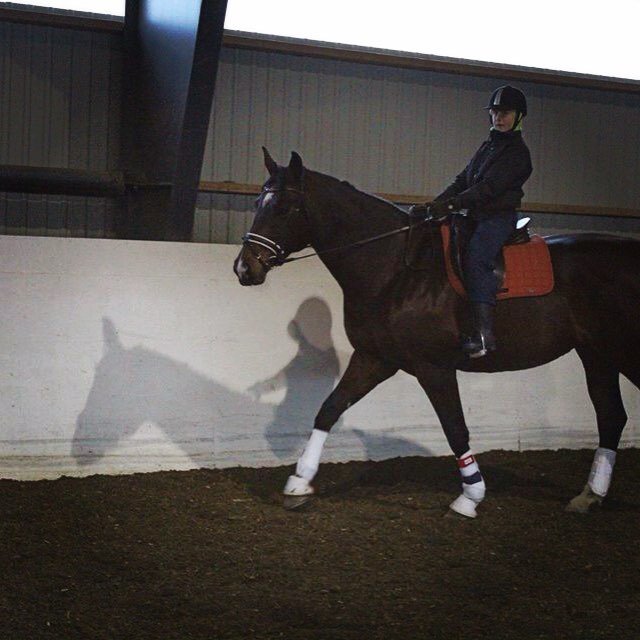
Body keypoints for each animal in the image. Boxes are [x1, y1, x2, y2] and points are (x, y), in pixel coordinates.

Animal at [233, 148, 640, 517]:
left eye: (284, 208)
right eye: (257, 201)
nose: (244, 268)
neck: (396, 270)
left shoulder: (434, 368)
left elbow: (455, 428)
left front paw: (470, 498)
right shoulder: (374, 359)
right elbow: (329, 409)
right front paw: (299, 483)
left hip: (623, 353)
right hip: (598, 354)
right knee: (611, 416)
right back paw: (589, 495)